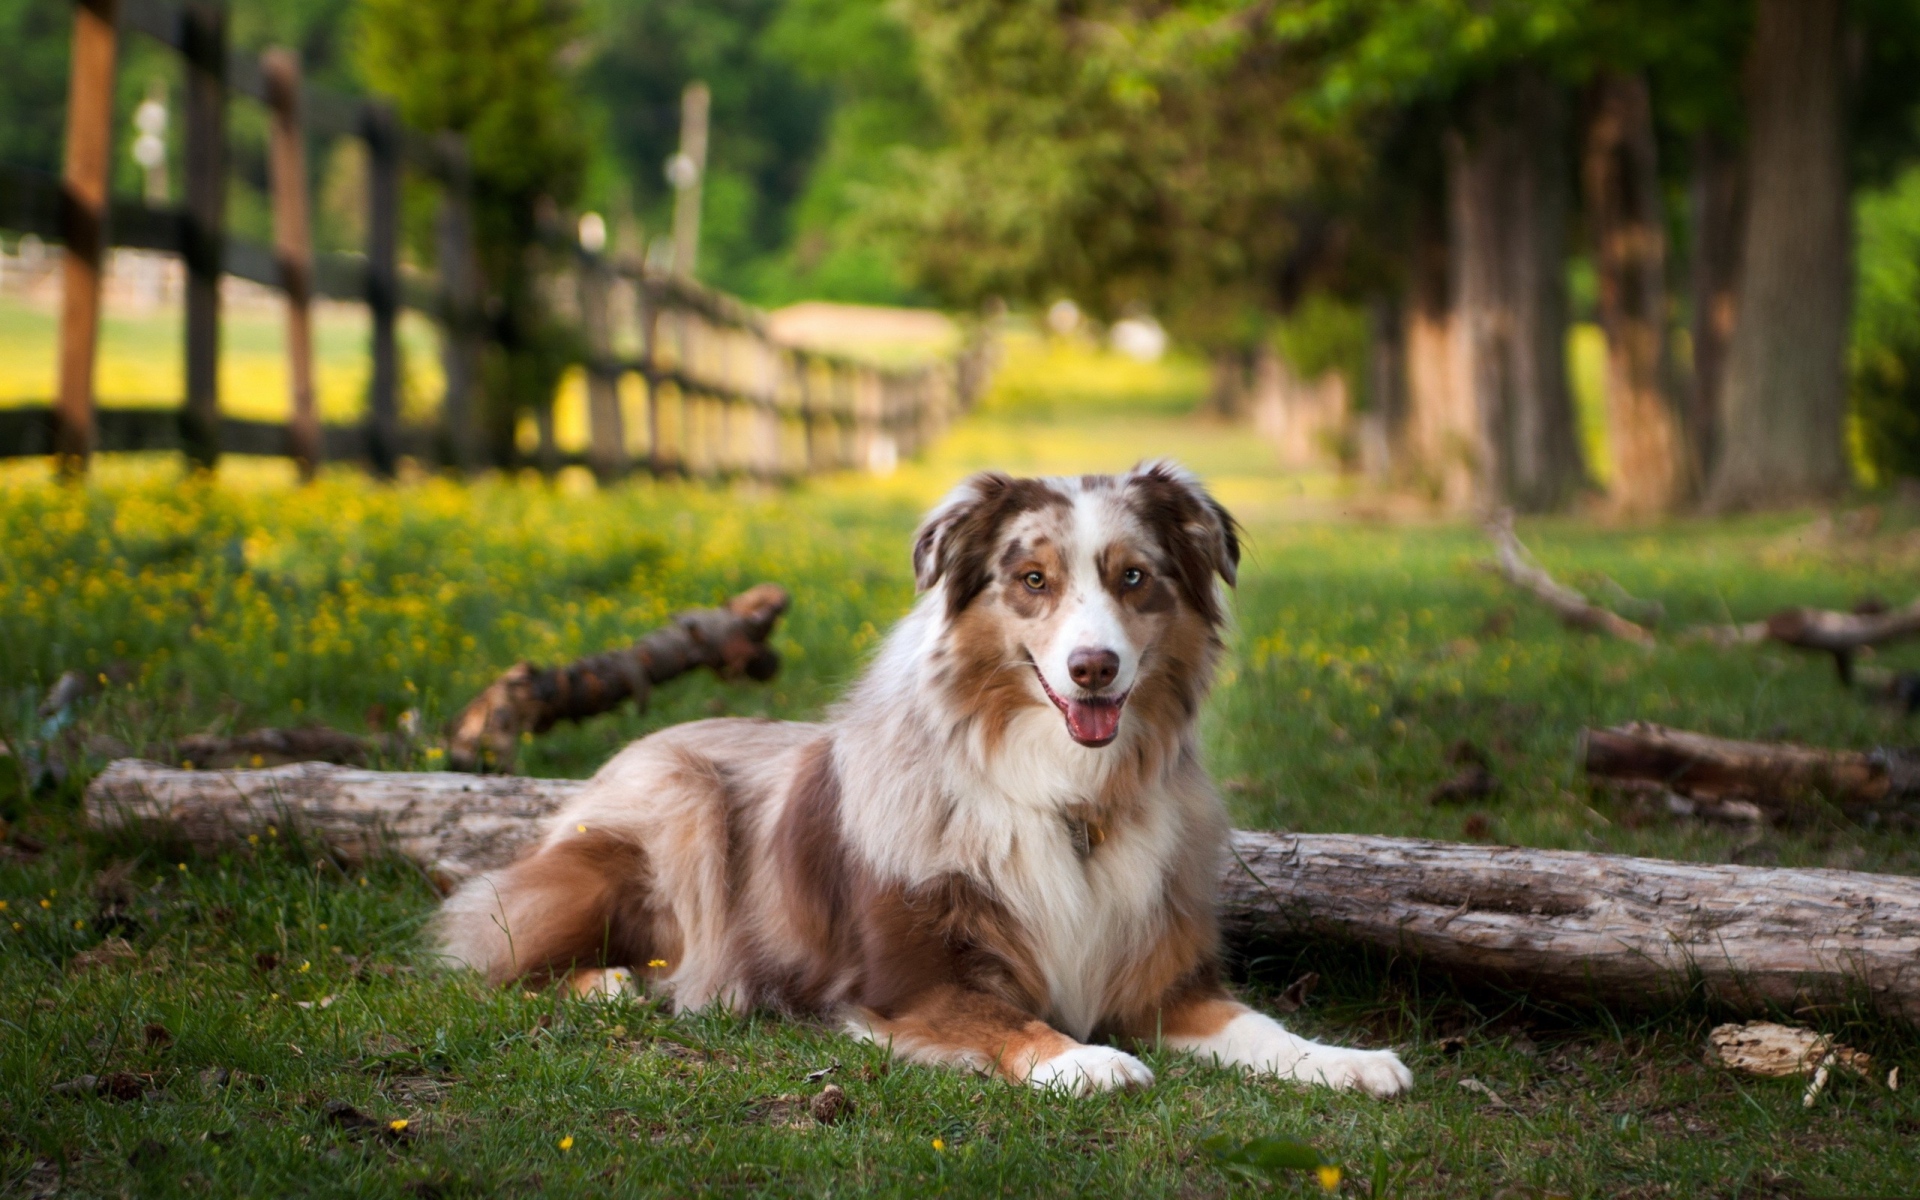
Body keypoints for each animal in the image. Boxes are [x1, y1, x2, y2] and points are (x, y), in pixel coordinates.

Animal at [435, 458, 1413, 1098]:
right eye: (1033, 580)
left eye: (1134, 577)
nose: (1094, 668)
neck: (1065, 797)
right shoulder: (909, 986)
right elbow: (1009, 1021)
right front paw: (1084, 1059)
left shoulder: (1160, 983)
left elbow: (1261, 1026)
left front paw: (1347, 1061)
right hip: (676, 809)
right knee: (487, 949)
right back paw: (610, 983)